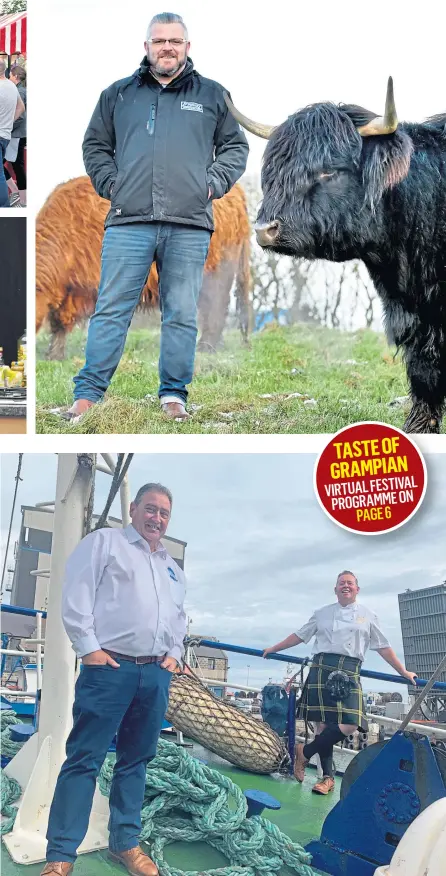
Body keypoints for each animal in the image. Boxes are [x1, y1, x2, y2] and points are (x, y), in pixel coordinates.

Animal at [35, 176, 251, 358]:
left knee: (217, 307)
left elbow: (65, 321)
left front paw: (56, 354)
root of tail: (237, 192)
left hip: (219, 270)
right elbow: (59, 321)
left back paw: (206, 347)